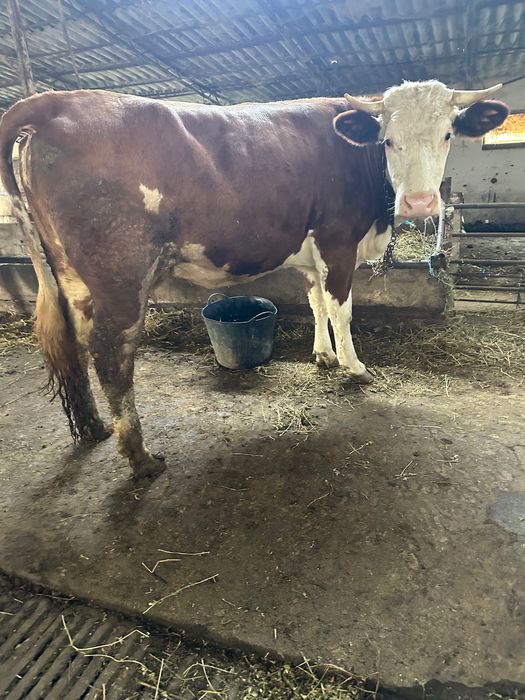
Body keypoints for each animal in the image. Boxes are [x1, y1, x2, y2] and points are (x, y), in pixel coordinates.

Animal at [0, 80, 508, 477]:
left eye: (447, 134)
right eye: (387, 141)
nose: (421, 203)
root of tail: (58, 100)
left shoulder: (311, 255)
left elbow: (316, 304)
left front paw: (323, 357)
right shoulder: (338, 242)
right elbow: (341, 308)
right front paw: (354, 367)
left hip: (69, 274)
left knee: (73, 341)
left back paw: (93, 428)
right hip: (120, 273)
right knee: (112, 353)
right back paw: (140, 457)